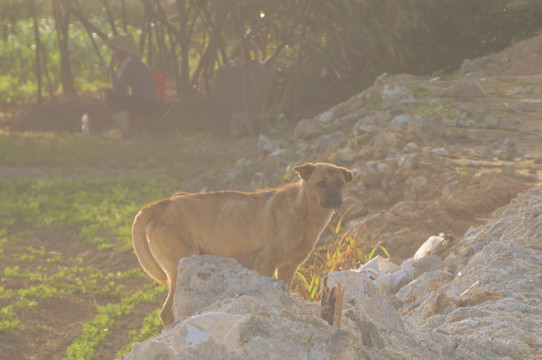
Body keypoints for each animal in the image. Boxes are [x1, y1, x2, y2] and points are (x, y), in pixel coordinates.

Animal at [131, 163, 352, 326]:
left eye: (340, 183)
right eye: (320, 183)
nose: (336, 200)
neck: (303, 211)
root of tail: (160, 204)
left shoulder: (288, 268)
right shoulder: (265, 264)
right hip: (180, 269)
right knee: (167, 313)